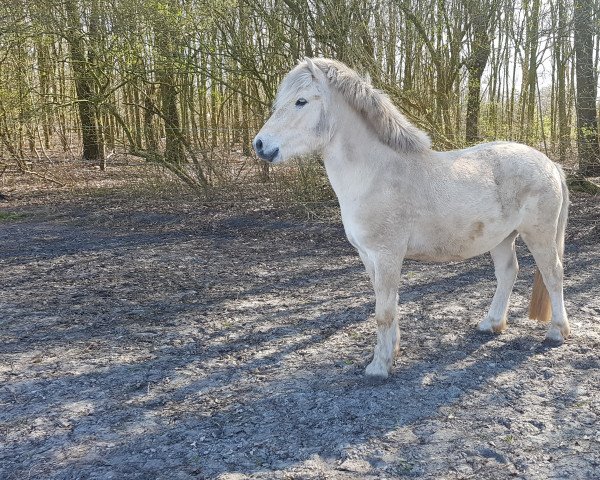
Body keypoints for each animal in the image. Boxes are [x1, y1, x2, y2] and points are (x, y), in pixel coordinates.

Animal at [253, 57, 572, 378]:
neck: (377, 174)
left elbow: (383, 312)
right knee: (507, 273)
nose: (260, 145)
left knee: (553, 274)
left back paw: (557, 332)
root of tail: (550, 164)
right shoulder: (369, 256)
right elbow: (388, 304)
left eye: (301, 101)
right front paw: (391, 350)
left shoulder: (387, 255)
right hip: (502, 238)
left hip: (539, 235)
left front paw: (379, 367)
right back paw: (491, 324)